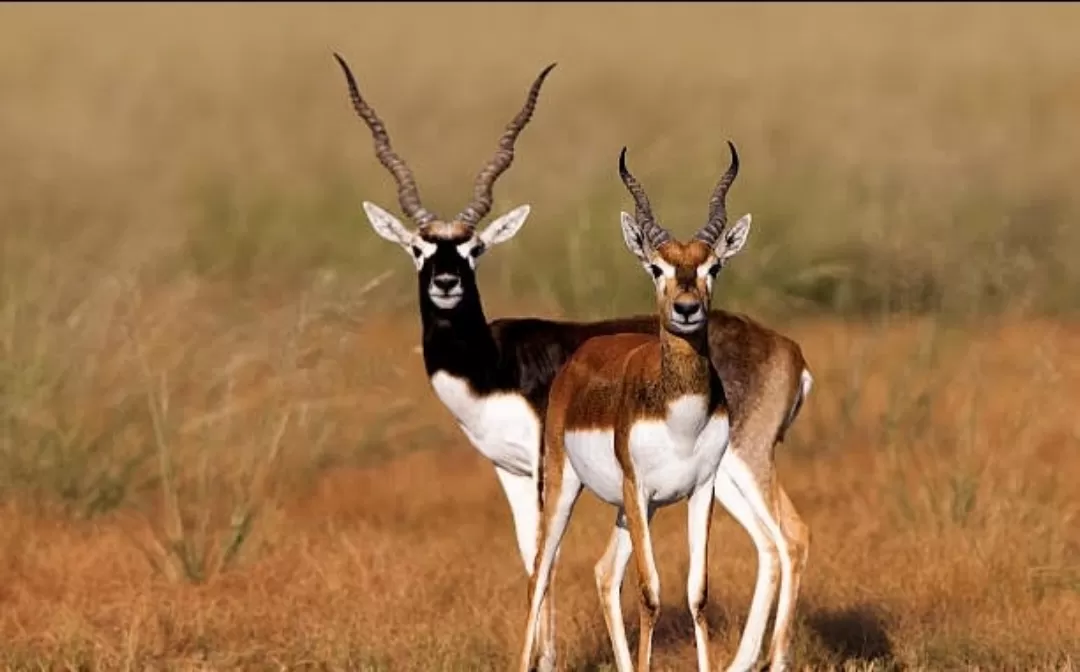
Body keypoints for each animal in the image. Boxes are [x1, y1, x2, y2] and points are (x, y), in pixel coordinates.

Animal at [518, 146, 756, 672]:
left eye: (713, 268)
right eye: (656, 268)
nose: (687, 308)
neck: (680, 417)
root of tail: (583, 354)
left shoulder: (700, 490)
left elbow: (696, 594)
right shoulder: (638, 485)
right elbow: (650, 594)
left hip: (634, 510)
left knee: (605, 572)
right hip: (570, 487)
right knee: (540, 572)